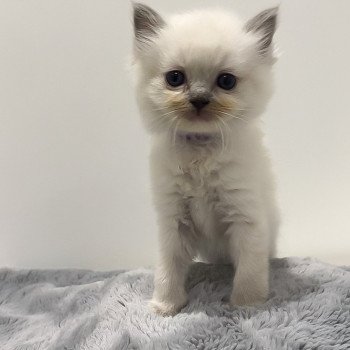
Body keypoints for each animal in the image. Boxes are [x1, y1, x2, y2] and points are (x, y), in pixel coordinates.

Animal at [133, 2, 280, 316]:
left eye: (226, 81)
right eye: (175, 78)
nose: (199, 100)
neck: (201, 149)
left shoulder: (244, 216)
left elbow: (249, 269)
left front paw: (246, 305)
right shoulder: (173, 220)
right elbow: (168, 269)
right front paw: (166, 306)